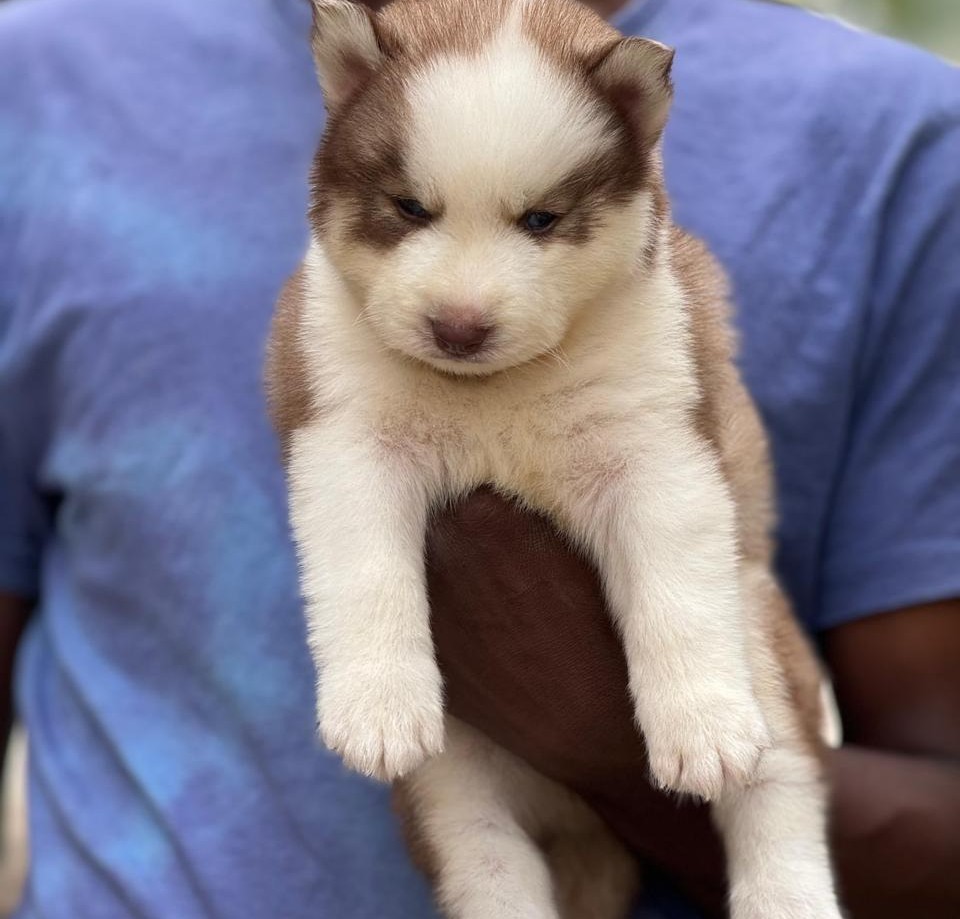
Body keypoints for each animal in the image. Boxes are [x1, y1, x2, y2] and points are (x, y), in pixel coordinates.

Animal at [266, 1, 844, 919]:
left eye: (540, 219)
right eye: (409, 207)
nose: (458, 327)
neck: (494, 391)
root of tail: (575, 817)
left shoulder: (658, 444)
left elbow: (677, 590)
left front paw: (699, 722)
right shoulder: (346, 432)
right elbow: (365, 570)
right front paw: (378, 704)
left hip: (766, 660)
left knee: (780, 791)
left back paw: (782, 885)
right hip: (455, 788)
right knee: (487, 862)